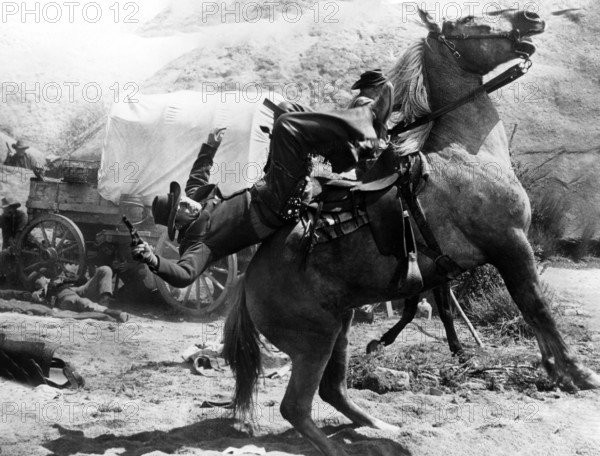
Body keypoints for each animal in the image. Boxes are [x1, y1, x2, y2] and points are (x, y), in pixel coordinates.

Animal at [221, 8, 600, 456]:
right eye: (468, 19)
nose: (530, 16)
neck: (466, 155)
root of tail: (248, 279)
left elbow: (512, 309)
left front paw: (556, 371)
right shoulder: (510, 245)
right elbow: (536, 306)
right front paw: (577, 373)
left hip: (339, 328)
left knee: (333, 390)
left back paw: (380, 425)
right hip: (314, 340)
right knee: (296, 406)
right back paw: (340, 445)